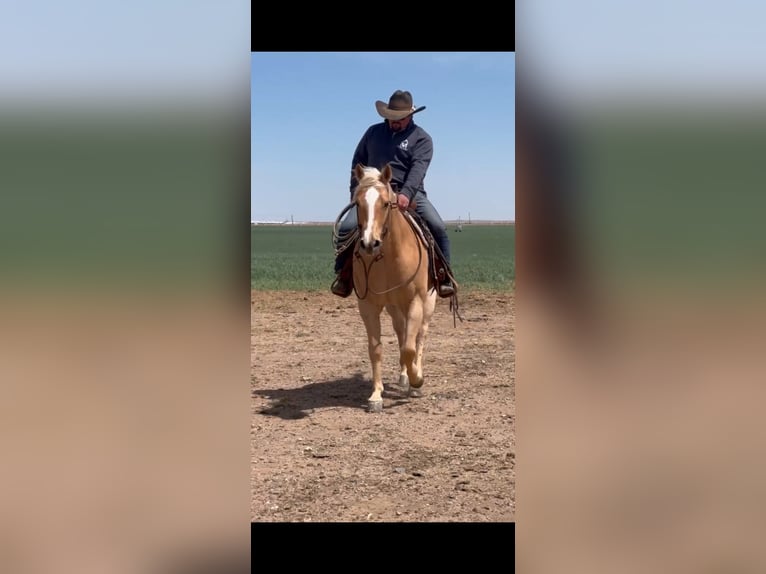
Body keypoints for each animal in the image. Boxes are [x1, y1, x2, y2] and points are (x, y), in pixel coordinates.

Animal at [350, 162, 437, 413]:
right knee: (401, 332)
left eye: (386, 203)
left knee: (419, 337)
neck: (389, 257)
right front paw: (376, 395)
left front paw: (418, 380)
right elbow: (376, 349)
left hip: (428, 304)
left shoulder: (415, 301)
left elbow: (410, 347)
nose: (370, 243)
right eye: (357, 203)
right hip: (394, 307)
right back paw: (403, 376)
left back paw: (414, 378)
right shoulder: (368, 306)